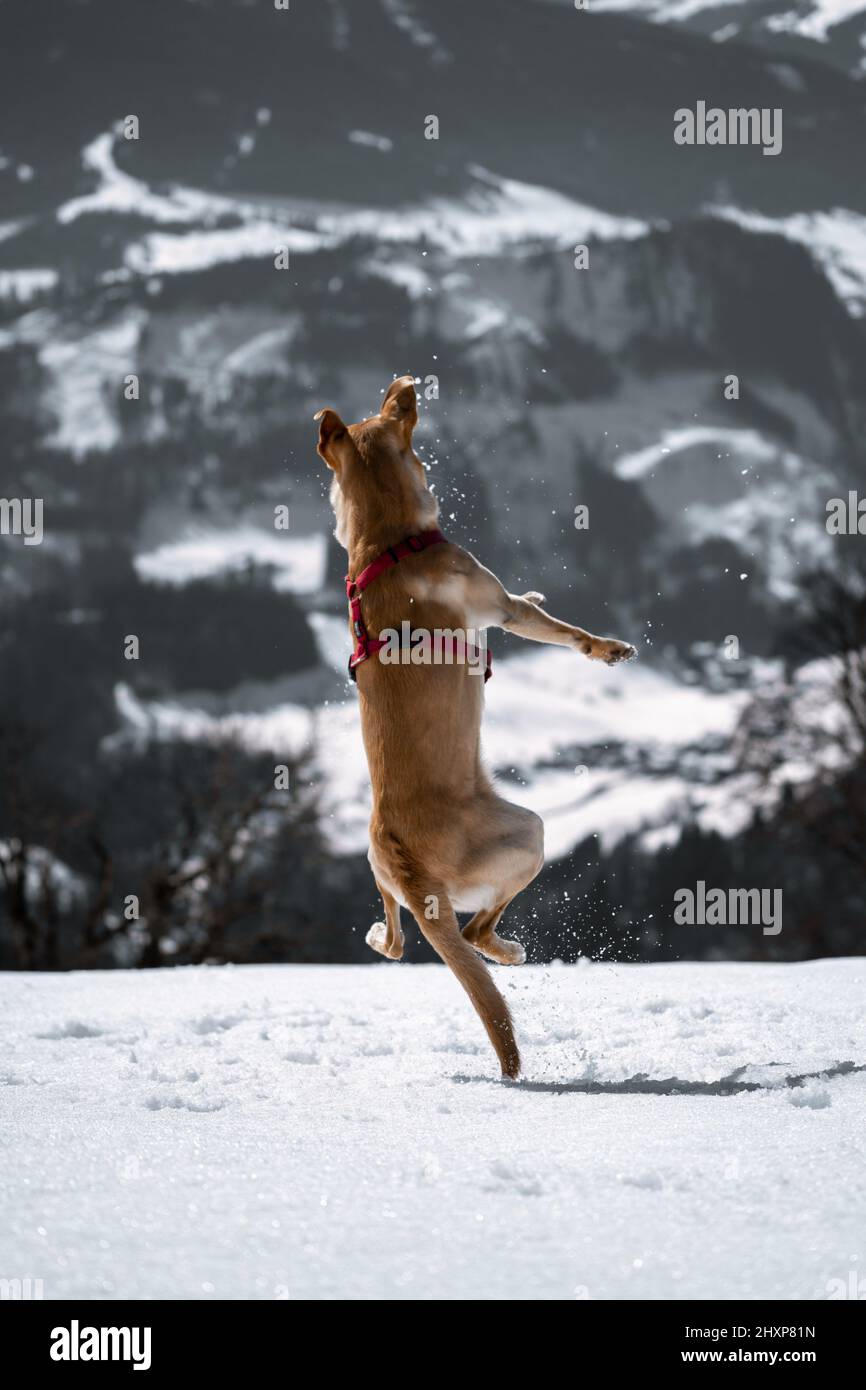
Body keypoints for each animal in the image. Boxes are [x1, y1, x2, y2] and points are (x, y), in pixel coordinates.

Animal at [318, 375, 636, 1078]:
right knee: (471, 931)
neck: (385, 542)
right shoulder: (501, 608)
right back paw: (508, 951)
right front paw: (605, 648)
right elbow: (561, 629)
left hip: (381, 871)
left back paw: (381, 931)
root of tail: (406, 862)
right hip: (529, 832)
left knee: (397, 942)